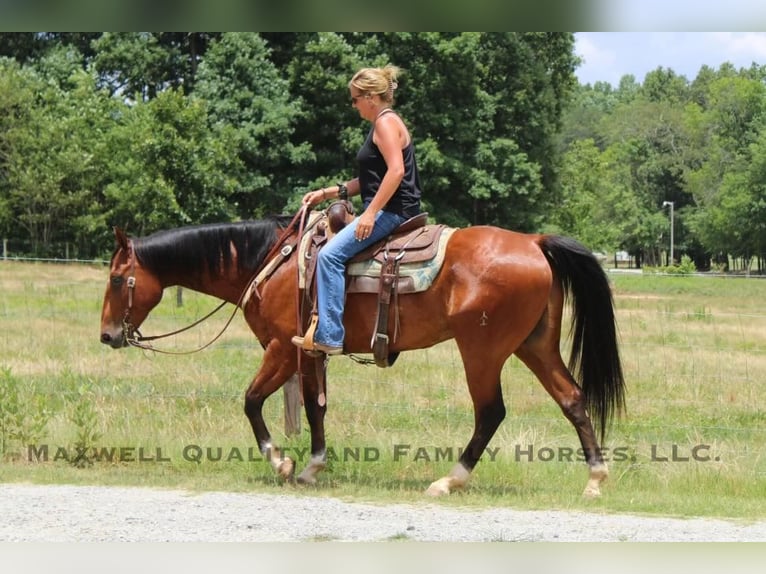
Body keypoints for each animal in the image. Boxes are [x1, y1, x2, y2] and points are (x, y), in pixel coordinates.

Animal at [99, 211, 625, 497]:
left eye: (116, 279)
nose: (107, 335)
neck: (270, 262)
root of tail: (535, 243)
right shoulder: (309, 354)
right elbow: (315, 408)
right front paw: (312, 466)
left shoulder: (281, 349)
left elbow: (250, 401)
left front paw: (282, 463)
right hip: (535, 345)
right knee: (572, 398)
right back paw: (596, 478)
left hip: (482, 350)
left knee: (490, 412)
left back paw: (449, 480)